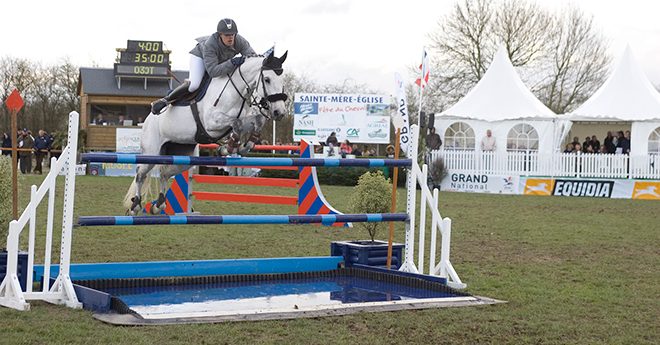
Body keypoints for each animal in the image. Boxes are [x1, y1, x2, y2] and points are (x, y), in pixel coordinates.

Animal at [124, 51, 288, 215]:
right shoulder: (211, 123)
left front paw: (242, 146)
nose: (279, 112)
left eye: (282, 81)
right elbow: (237, 123)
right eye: (267, 79)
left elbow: (257, 120)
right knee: (140, 174)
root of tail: (147, 120)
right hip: (151, 152)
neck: (235, 91)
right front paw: (229, 147)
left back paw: (158, 205)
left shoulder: (242, 119)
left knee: (164, 172)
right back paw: (134, 207)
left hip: (184, 157)